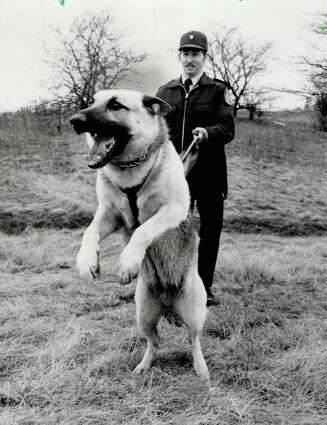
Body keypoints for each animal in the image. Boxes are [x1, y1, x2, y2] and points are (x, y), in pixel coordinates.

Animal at [71, 90, 211, 380]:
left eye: (116, 104)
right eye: (92, 101)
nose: (74, 120)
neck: (130, 170)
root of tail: (168, 303)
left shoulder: (172, 209)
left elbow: (144, 230)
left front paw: (128, 262)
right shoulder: (109, 214)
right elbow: (89, 232)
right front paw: (87, 261)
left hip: (193, 312)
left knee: (193, 340)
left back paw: (201, 368)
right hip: (143, 313)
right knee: (154, 341)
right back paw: (144, 366)